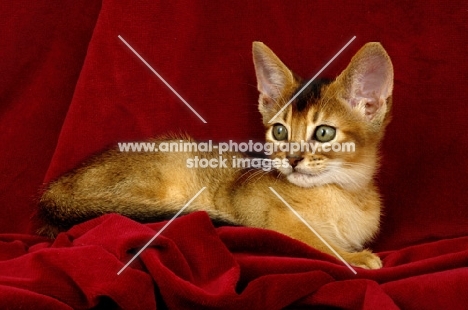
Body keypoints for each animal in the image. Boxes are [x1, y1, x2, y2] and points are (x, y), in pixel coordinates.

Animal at [38, 41, 394, 268]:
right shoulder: (270, 220)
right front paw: (355, 258)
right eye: (280, 131)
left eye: (323, 133)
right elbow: (317, 242)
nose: (291, 159)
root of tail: (53, 190)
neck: (344, 195)